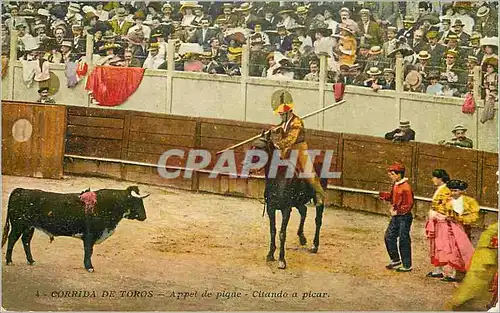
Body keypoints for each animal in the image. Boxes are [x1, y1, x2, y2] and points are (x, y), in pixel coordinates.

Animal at [1, 185, 148, 270]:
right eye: (136, 202)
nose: (144, 216)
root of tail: (21, 190)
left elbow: (89, 251)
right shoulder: (89, 235)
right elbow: (88, 251)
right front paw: (89, 267)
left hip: (29, 227)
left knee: (25, 241)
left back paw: (31, 261)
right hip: (19, 225)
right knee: (12, 239)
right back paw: (9, 261)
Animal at [247, 130, 328, 268]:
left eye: (261, 148)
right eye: (252, 146)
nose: (248, 166)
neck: (279, 178)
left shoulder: (286, 209)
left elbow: (282, 233)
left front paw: (281, 260)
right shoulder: (271, 208)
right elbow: (273, 230)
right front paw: (270, 255)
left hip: (318, 197)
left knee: (318, 220)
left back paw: (314, 246)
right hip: (298, 202)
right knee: (304, 211)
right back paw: (302, 238)